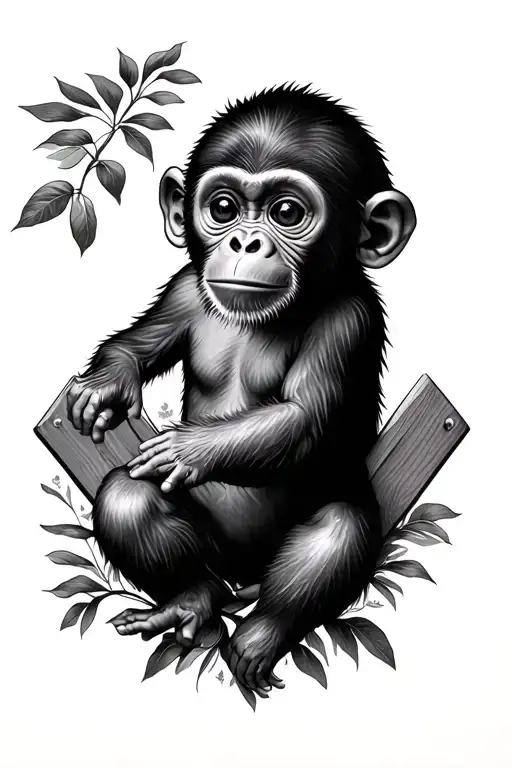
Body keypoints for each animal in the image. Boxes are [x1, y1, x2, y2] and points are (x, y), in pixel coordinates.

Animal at [67, 85, 416, 697]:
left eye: (287, 213)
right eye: (224, 207)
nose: (246, 242)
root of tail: (242, 580)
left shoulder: (350, 318)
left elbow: (304, 415)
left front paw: (188, 448)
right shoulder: (185, 287)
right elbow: (139, 342)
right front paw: (107, 386)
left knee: (336, 530)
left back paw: (261, 635)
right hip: (214, 560)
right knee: (128, 498)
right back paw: (188, 603)